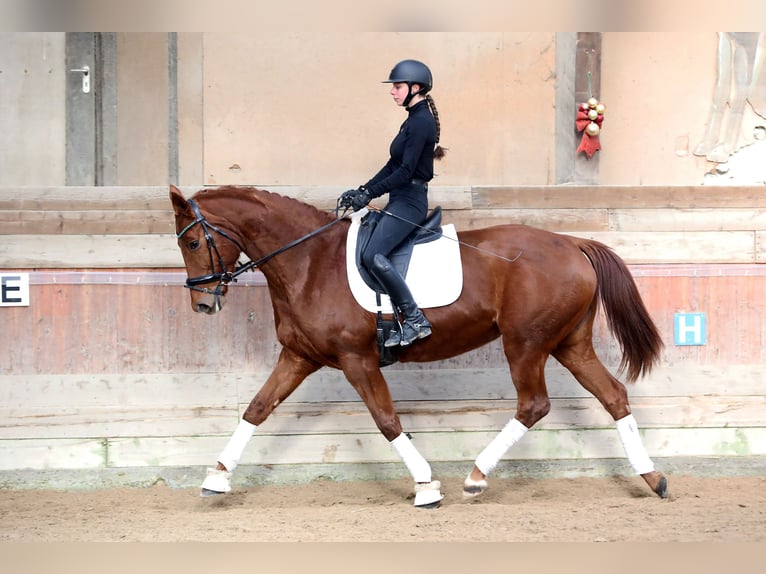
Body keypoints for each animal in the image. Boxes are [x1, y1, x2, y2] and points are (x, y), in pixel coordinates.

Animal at [171, 184, 668, 508]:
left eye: (193, 241)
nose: (202, 303)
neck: (309, 262)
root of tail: (572, 242)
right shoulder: (299, 357)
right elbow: (257, 408)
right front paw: (217, 478)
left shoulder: (357, 360)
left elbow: (387, 420)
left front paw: (427, 486)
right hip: (569, 344)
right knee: (613, 395)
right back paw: (653, 478)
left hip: (525, 344)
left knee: (534, 405)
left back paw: (476, 477)